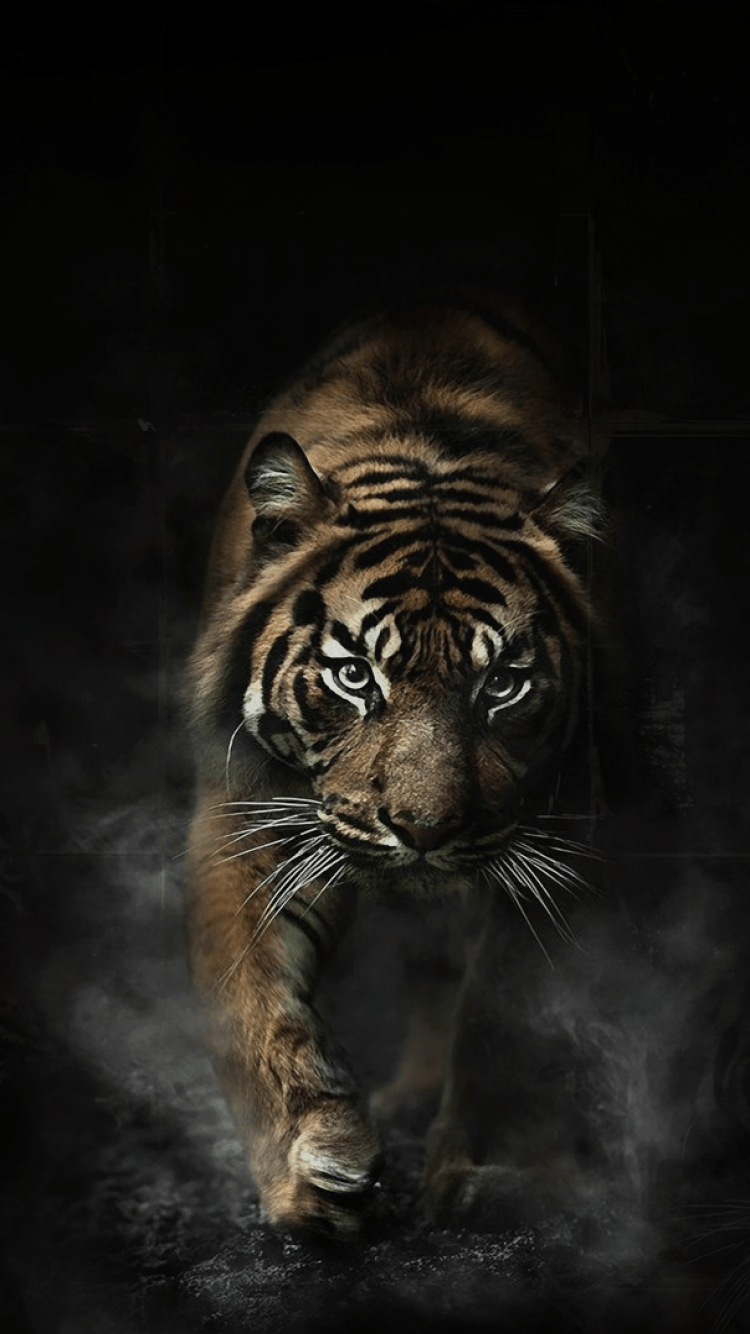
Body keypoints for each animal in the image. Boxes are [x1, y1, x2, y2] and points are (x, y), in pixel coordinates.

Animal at [183, 282, 610, 1237]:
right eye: (354, 674)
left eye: (503, 685)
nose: (423, 828)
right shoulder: (248, 810)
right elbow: (248, 999)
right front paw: (311, 1167)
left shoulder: (555, 841)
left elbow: (501, 1012)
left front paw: (484, 1174)